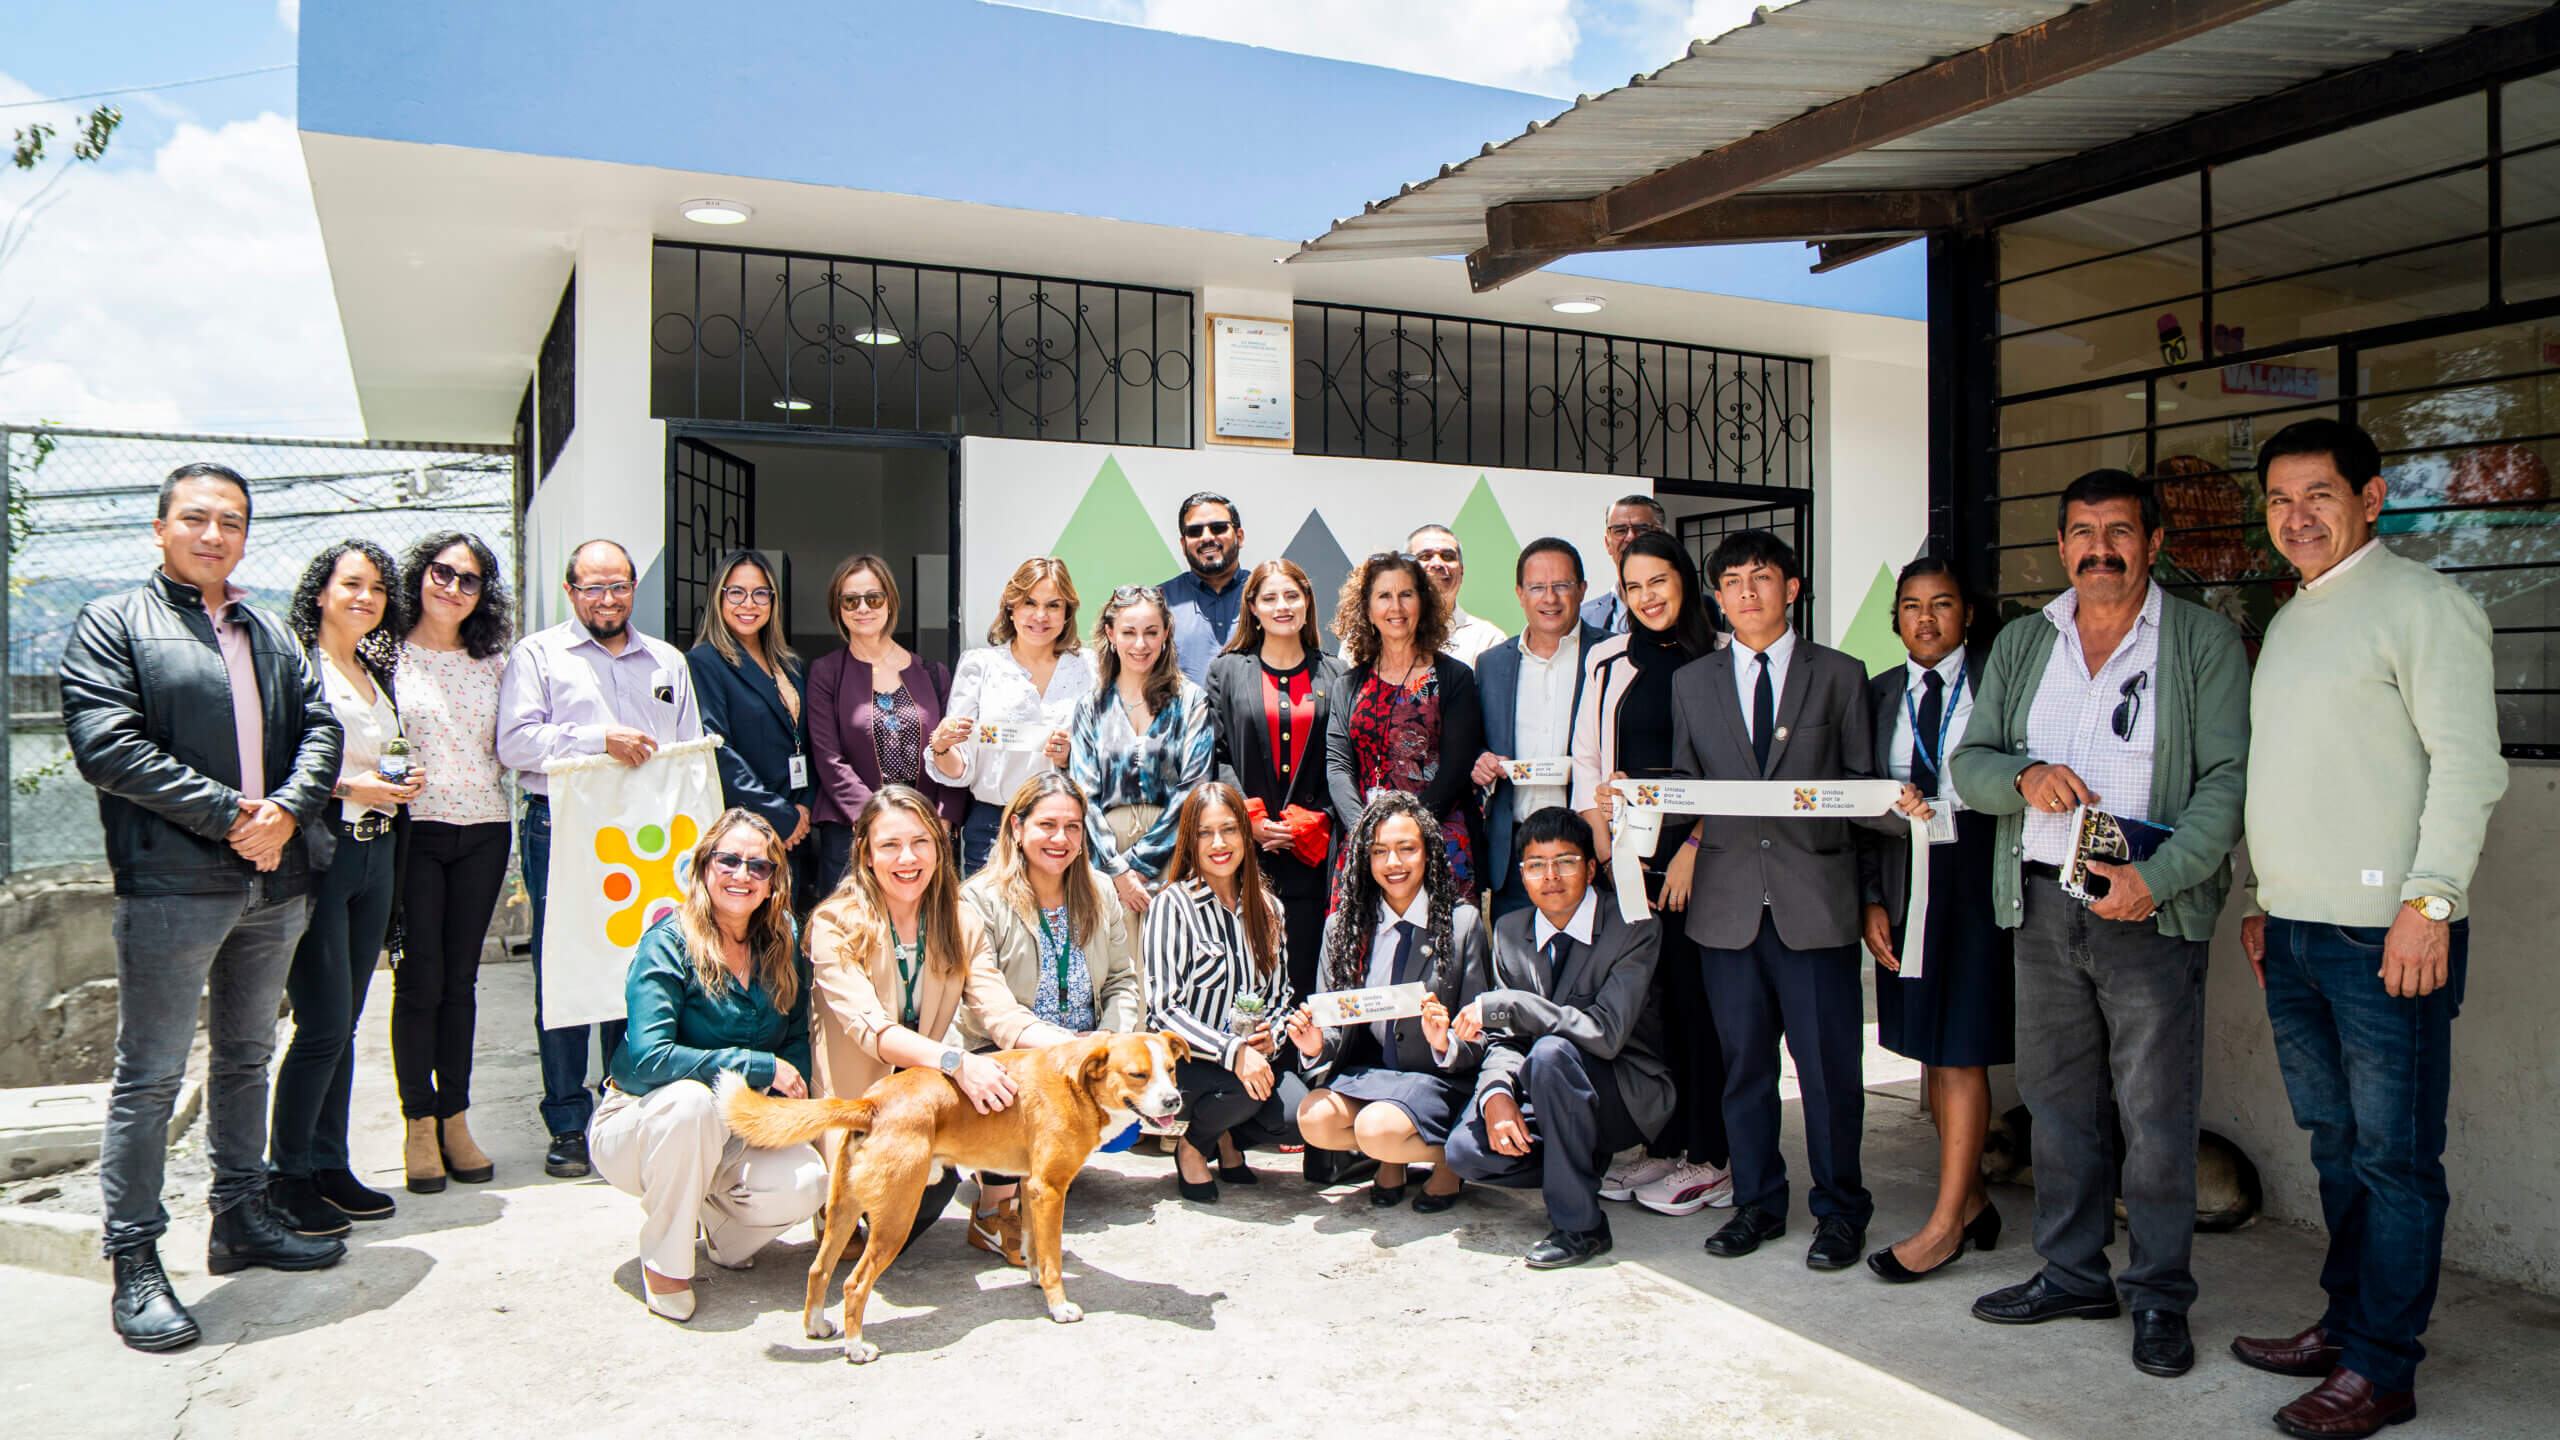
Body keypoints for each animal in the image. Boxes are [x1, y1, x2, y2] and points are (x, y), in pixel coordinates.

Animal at [718, 1030, 1189, 1363]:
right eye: (1138, 1074)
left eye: (1171, 1069)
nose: (1174, 1100)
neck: (1077, 1085)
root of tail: (872, 1102)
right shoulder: (1051, 1188)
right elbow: (1054, 1257)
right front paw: (1058, 1306)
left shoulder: (1030, 1186)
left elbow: (1036, 1245)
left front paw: (1035, 1277)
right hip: (896, 1217)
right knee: (853, 1283)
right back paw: (856, 1348)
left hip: (843, 1209)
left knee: (819, 1269)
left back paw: (816, 1326)